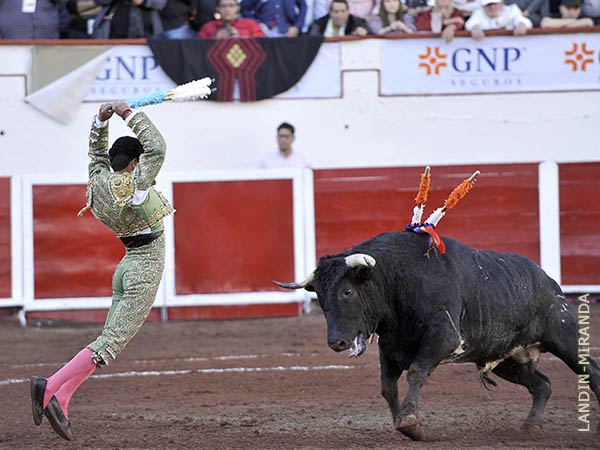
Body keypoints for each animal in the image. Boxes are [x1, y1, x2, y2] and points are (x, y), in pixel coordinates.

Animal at [275, 230, 600, 440]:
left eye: (347, 291)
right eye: (320, 297)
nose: (336, 343)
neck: (396, 279)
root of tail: (548, 281)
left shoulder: (442, 338)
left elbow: (417, 372)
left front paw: (409, 421)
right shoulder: (390, 349)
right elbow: (387, 388)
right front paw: (407, 426)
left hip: (564, 335)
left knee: (590, 369)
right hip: (506, 359)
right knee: (542, 384)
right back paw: (531, 426)